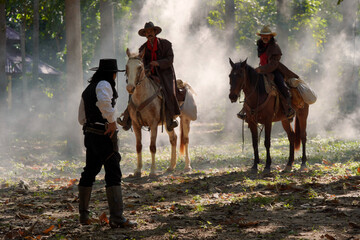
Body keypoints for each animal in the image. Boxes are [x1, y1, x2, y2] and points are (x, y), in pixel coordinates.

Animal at [125, 47, 195, 177]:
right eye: (127, 67)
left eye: (140, 67)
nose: (130, 88)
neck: (142, 97)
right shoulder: (136, 125)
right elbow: (138, 146)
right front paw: (138, 170)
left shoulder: (153, 124)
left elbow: (152, 146)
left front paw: (152, 171)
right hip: (168, 122)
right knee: (174, 138)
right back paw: (171, 167)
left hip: (185, 119)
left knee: (186, 139)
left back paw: (187, 167)